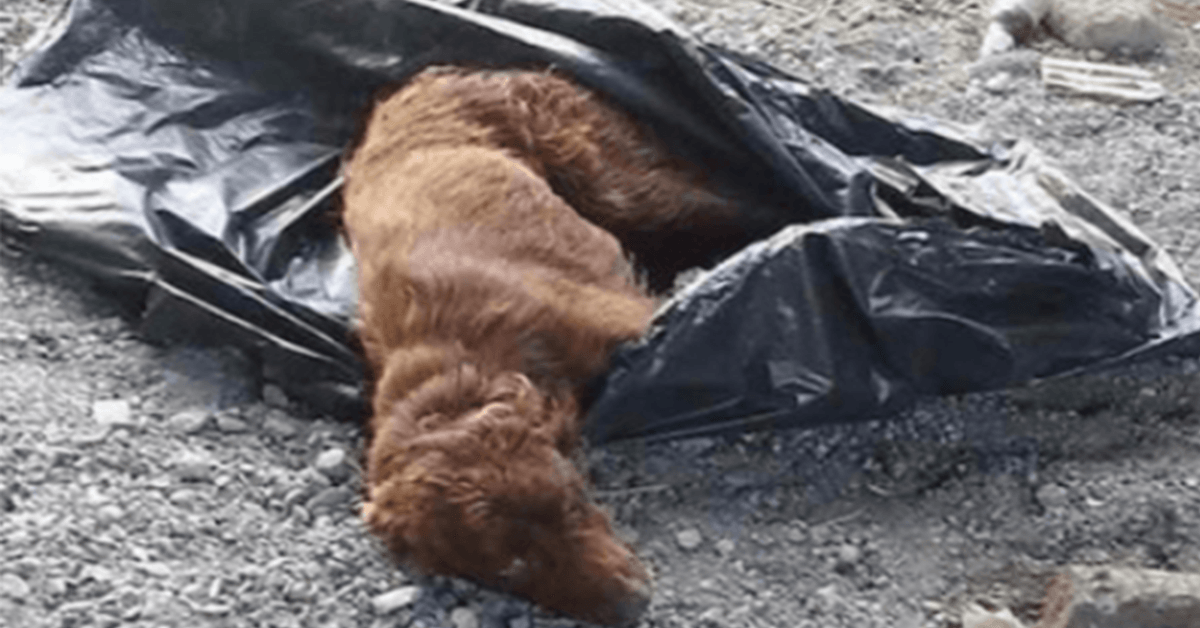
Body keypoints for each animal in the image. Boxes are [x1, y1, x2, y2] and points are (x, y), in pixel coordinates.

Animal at [340, 65, 739, 624]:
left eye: (572, 501)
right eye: (512, 568)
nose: (634, 603)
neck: (467, 358)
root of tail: (437, 74)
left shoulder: (625, 315)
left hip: (617, 178)